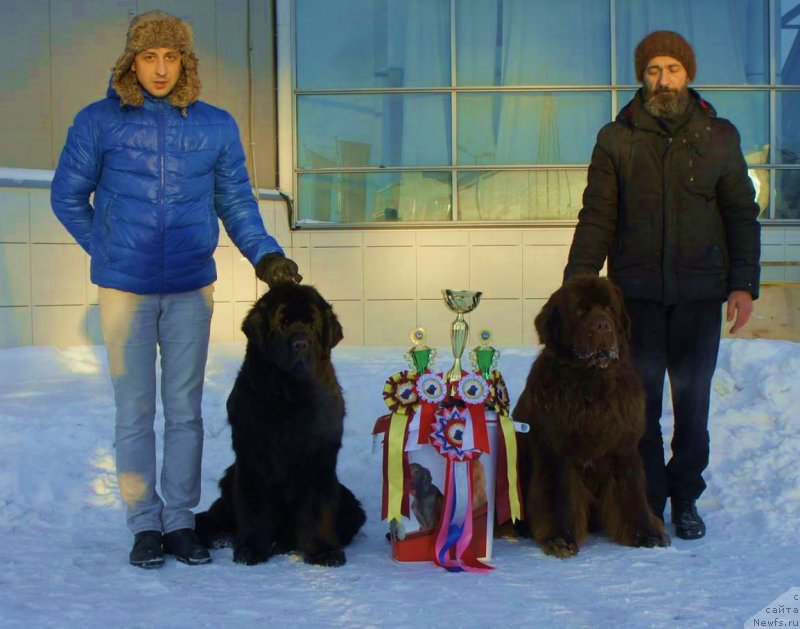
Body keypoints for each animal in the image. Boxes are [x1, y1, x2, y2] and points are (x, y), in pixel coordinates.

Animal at [197, 282, 366, 568]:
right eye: (282, 323)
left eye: (312, 323)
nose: (301, 344)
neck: (290, 397)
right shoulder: (252, 457)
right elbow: (253, 508)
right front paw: (250, 549)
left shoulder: (320, 460)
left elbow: (319, 508)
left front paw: (323, 551)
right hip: (229, 480)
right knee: (209, 518)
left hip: (350, 505)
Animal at [512, 278, 668, 556]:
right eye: (580, 311)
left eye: (608, 308)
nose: (603, 325)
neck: (591, 383)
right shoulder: (557, 452)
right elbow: (560, 499)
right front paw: (560, 539)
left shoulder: (624, 448)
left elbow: (633, 494)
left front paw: (646, 533)